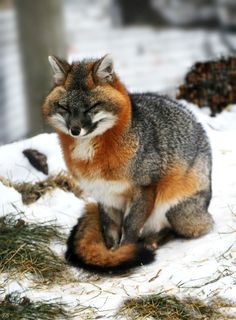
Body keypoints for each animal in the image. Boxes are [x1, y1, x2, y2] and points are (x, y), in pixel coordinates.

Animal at [42, 54, 214, 272]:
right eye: (64, 108)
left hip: (177, 212)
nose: (75, 130)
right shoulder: (105, 195)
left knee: (181, 228)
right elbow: (110, 230)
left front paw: (123, 252)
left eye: (91, 107)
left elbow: (130, 227)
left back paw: (152, 241)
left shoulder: (144, 189)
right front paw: (111, 253)